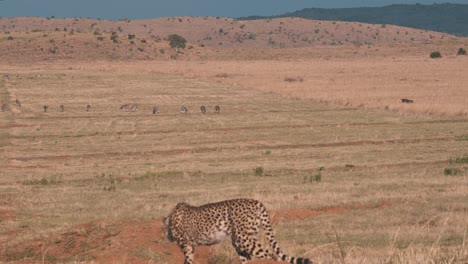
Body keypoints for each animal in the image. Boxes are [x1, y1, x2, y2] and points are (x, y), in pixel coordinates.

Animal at [163, 199, 312, 262]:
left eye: (164, 229)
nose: (166, 236)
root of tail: (255, 201)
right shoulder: (191, 246)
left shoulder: (186, 245)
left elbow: (187, 260)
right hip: (244, 238)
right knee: (248, 258)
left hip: (243, 238)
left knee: (271, 255)